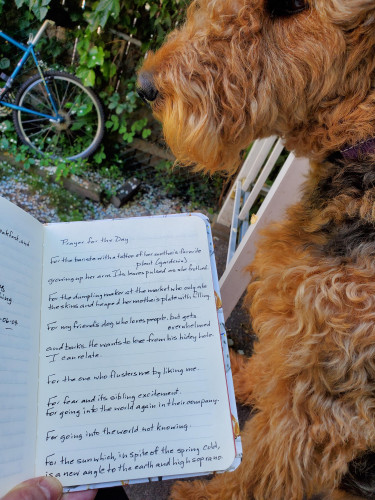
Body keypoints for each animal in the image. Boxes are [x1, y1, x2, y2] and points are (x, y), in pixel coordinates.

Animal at [137, 0, 375, 500]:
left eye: (291, 7)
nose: (146, 86)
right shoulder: (296, 334)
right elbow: (271, 369)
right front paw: (239, 380)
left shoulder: (323, 406)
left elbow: (259, 471)